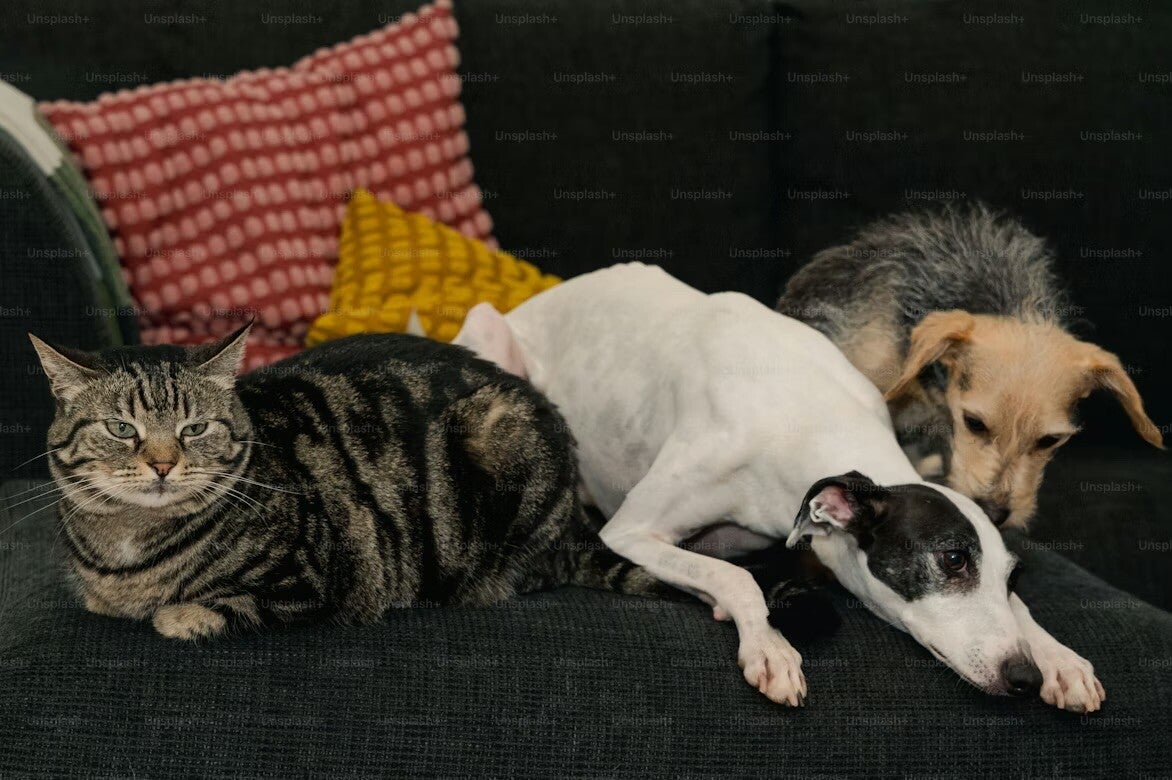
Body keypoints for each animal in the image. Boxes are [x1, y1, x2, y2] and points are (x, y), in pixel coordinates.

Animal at [29, 325, 665, 640]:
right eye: (121, 428)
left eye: (195, 428)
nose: (162, 465)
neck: (130, 543)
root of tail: (577, 514)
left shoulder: (311, 581)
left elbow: (212, 605)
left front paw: (179, 615)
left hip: (499, 445)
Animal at [452, 263, 1104, 711]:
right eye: (951, 560)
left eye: (1012, 575)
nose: (1022, 677)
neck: (808, 418)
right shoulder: (632, 531)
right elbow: (735, 577)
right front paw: (769, 646)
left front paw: (1059, 657)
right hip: (494, 342)